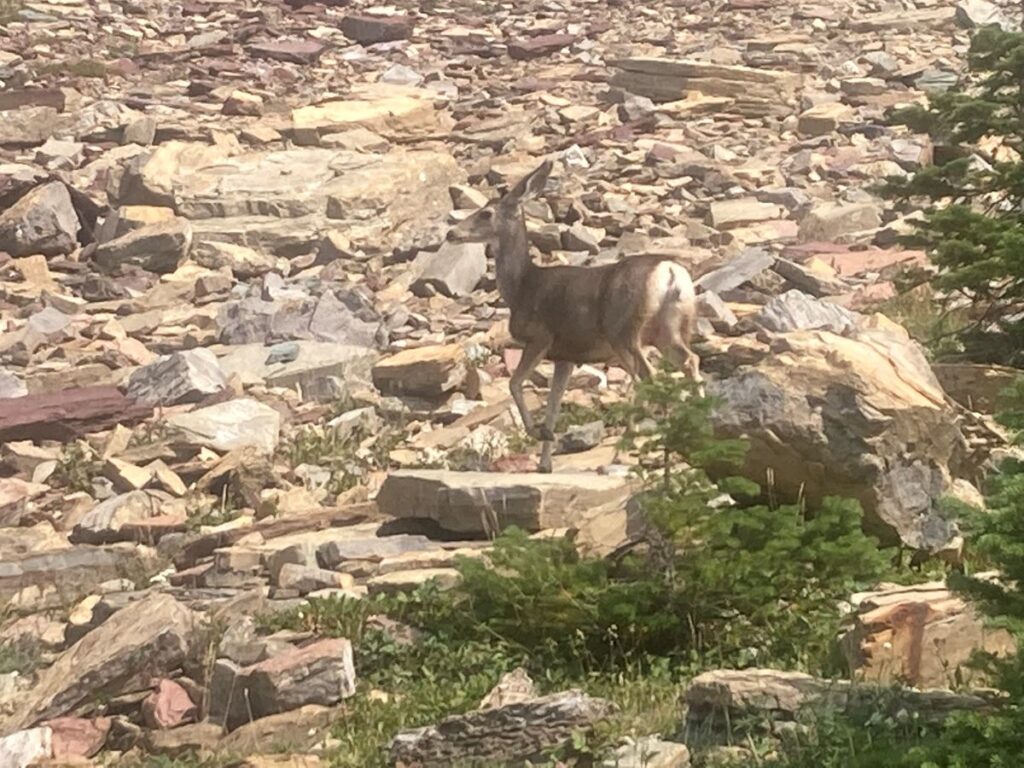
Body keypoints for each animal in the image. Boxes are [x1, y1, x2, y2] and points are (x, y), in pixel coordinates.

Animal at [448, 158, 704, 473]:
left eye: (486, 213)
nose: (451, 233)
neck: (522, 287)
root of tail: (670, 272)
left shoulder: (541, 337)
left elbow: (515, 383)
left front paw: (539, 434)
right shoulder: (565, 356)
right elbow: (553, 406)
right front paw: (545, 461)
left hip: (625, 331)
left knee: (649, 376)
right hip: (668, 330)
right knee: (689, 361)